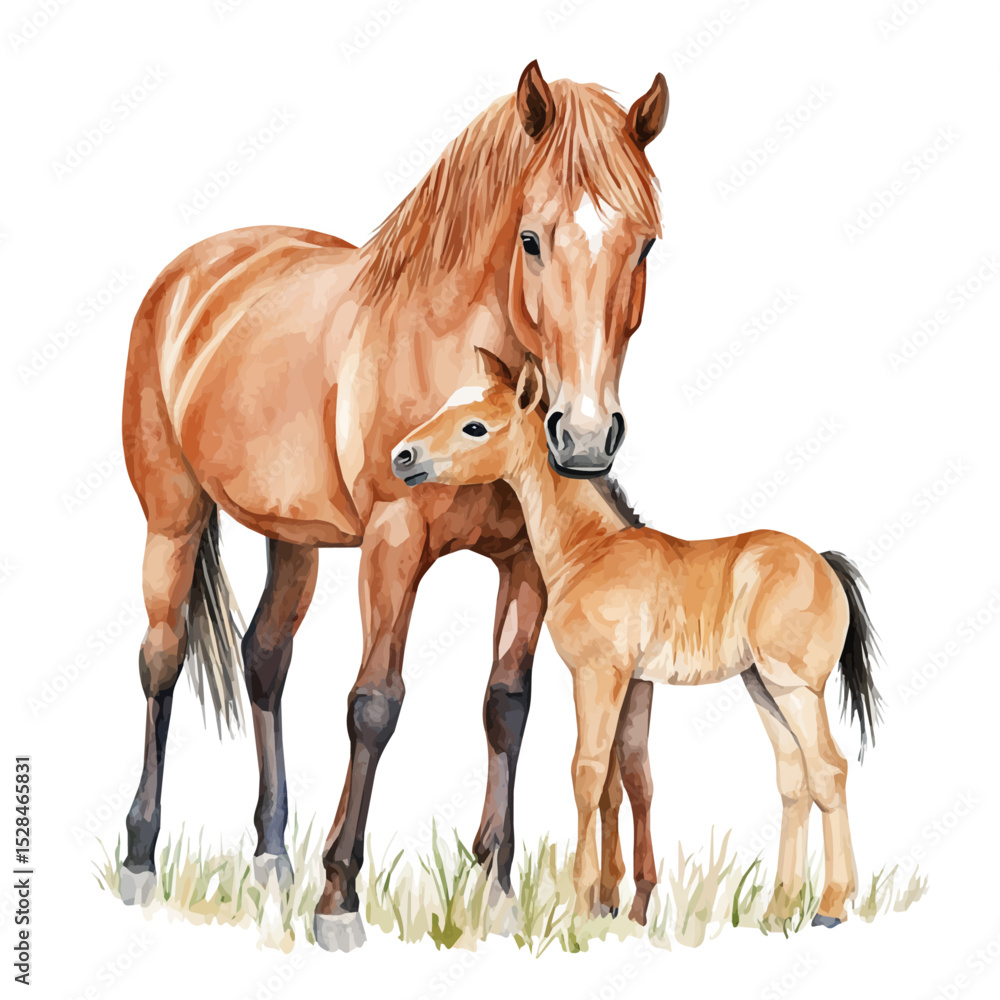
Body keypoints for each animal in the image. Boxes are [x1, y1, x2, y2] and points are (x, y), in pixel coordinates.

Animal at [119, 61, 669, 950]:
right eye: (531, 239)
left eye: (645, 243)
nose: (584, 436)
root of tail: (192, 273)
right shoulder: (393, 543)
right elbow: (374, 705)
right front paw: (339, 896)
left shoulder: (525, 563)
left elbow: (506, 708)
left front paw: (496, 890)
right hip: (171, 518)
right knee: (161, 658)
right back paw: (140, 857)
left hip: (295, 539)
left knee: (264, 657)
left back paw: (271, 856)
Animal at [390, 351, 882, 928]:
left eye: (475, 426)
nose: (401, 457)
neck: (590, 549)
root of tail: (823, 563)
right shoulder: (633, 682)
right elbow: (619, 783)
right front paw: (610, 904)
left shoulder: (597, 675)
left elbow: (587, 773)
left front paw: (579, 904)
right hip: (761, 687)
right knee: (794, 782)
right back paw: (779, 908)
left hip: (795, 687)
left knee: (829, 771)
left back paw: (830, 906)